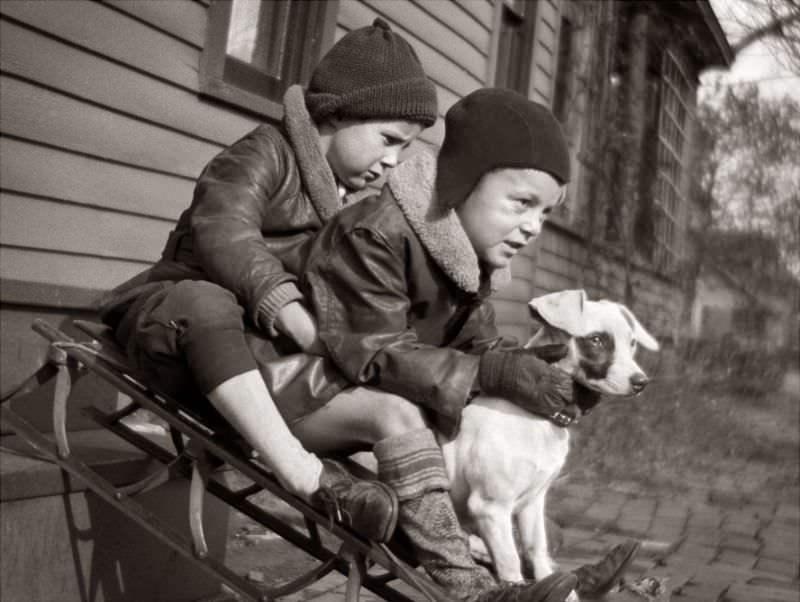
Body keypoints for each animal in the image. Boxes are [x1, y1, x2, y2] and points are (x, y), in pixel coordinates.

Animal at [440, 290, 660, 596]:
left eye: (632, 343)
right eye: (596, 339)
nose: (641, 382)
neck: (536, 417)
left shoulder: (533, 503)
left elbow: (538, 554)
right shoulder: (491, 508)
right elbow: (510, 564)